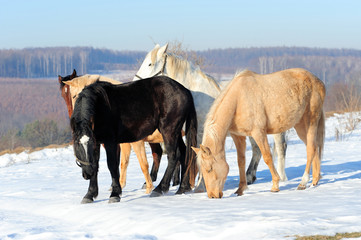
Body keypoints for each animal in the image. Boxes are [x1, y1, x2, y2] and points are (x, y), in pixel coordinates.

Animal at [132, 43, 286, 189]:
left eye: (150, 64)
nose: (134, 82)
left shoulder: (199, 132)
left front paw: (199, 184)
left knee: (279, 147)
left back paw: (281, 177)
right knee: (257, 150)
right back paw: (249, 177)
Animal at [193, 68, 324, 199]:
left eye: (209, 169)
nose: (212, 195)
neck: (238, 100)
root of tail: (317, 81)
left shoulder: (258, 133)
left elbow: (267, 157)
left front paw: (275, 186)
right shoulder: (238, 136)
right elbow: (241, 161)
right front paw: (240, 189)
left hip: (310, 121)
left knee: (311, 148)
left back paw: (303, 182)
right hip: (300, 125)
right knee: (314, 147)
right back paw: (315, 180)